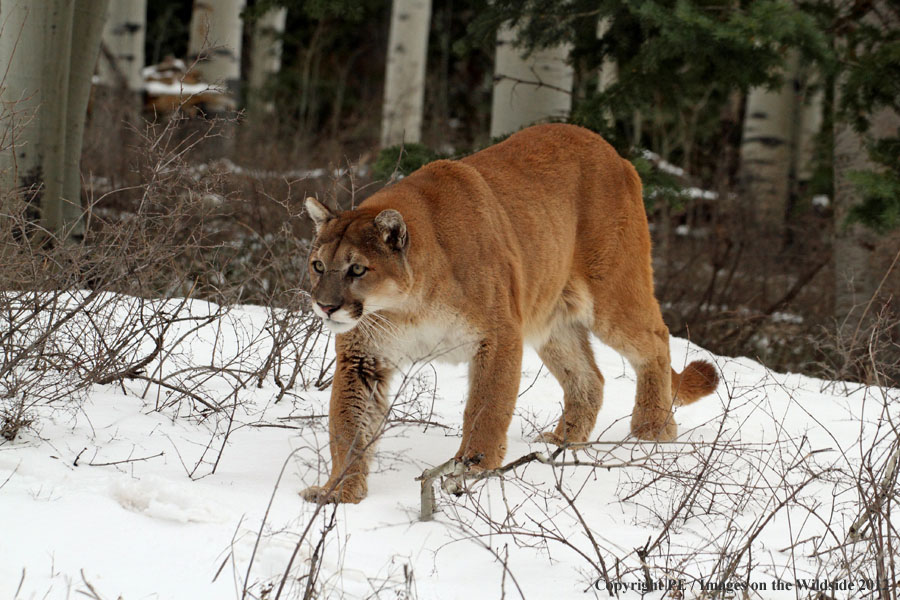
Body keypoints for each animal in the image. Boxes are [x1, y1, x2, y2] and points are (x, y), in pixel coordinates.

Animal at [302, 124, 716, 504]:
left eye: (357, 269)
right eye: (318, 265)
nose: (325, 306)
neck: (408, 306)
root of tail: (615, 153)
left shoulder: (498, 334)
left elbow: (487, 407)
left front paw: (472, 469)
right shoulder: (363, 357)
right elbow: (349, 426)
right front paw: (339, 490)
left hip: (611, 294)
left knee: (656, 340)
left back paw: (652, 429)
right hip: (551, 318)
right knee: (590, 377)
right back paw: (563, 441)